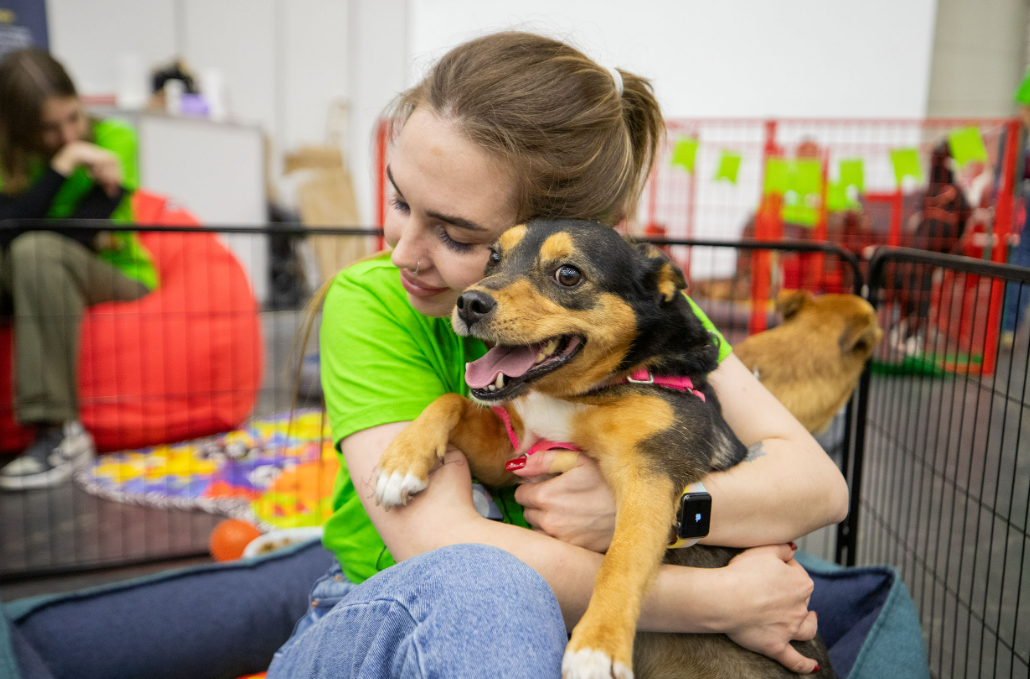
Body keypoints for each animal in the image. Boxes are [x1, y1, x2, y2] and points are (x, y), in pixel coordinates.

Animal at [374, 221, 832, 679]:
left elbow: (622, 560)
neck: (587, 391)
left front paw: (598, 647)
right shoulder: (512, 456)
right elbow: (450, 400)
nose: (469, 302)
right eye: (493, 259)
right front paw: (401, 463)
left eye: (568, 274)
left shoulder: (649, 476)